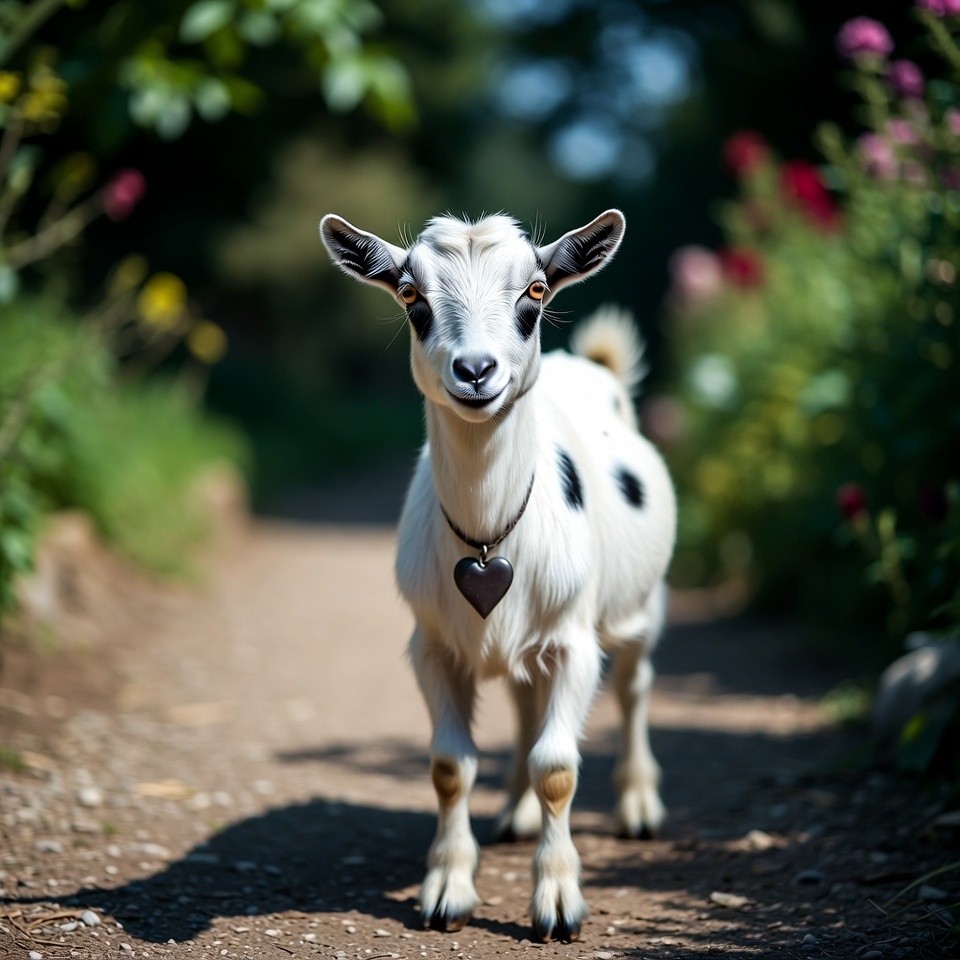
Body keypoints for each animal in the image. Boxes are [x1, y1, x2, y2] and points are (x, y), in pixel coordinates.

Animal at [319, 210, 676, 943]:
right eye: (411, 297)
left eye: (535, 293)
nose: (476, 370)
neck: (489, 534)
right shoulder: (431, 644)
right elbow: (450, 767)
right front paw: (446, 892)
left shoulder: (573, 641)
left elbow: (558, 766)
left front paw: (559, 902)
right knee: (523, 704)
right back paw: (515, 814)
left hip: (641, 607)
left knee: (634, 688)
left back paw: (638, 807)